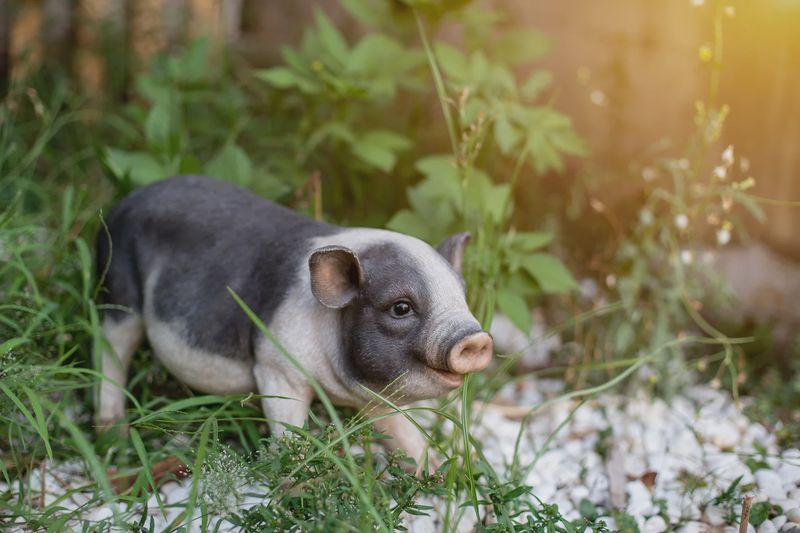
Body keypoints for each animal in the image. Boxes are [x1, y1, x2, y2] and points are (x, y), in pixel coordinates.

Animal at [95, 175, 493, 464]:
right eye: (400, 307)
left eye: (462, 295)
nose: (475, 338)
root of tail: (122, 204)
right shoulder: (276, 366)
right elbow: (288, 429)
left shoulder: (379, 397)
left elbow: (402, 430)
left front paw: (436, 474)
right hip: (116, 289)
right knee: (111, 352)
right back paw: (113, 436)